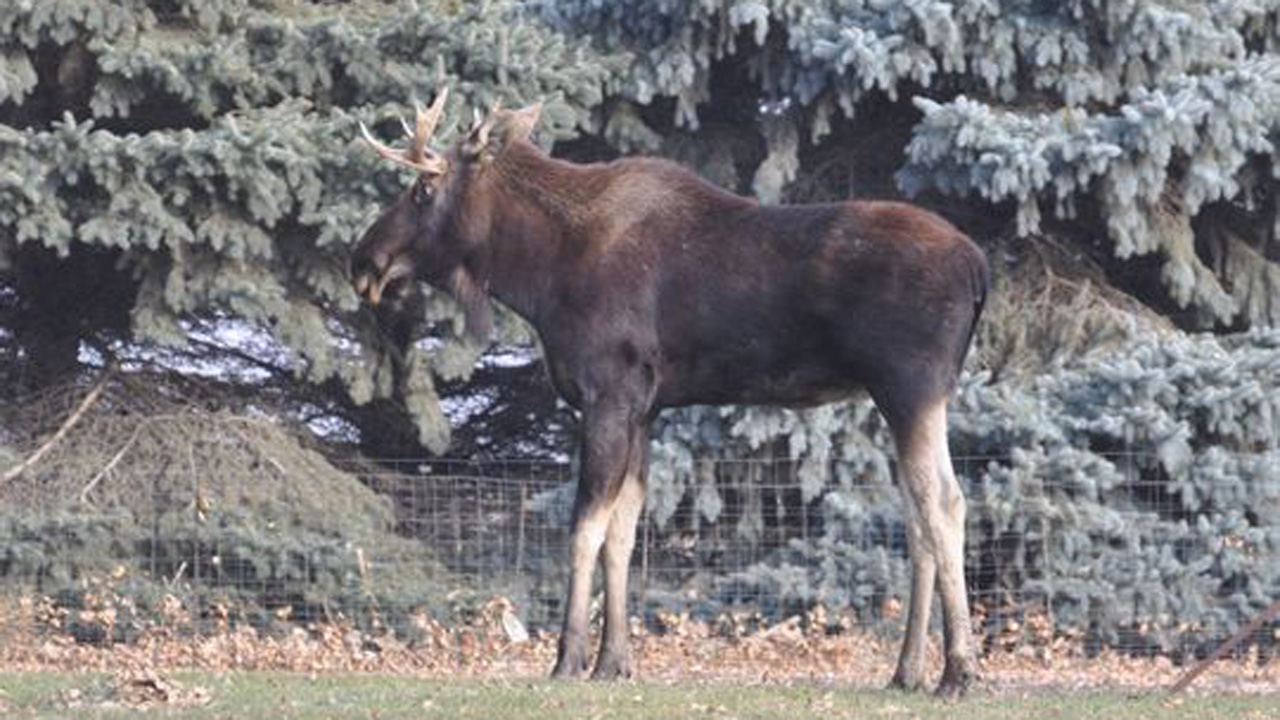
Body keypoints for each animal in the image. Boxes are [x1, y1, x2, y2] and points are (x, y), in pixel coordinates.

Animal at [349, 88, 990, 696]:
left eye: (423, 189)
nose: (363, 261)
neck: (537, 276)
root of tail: (977, 266)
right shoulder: (644, 409)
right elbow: (624, 533)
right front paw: (613, 662)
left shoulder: (607, 393)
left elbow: (585, 529)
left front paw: (569, 658)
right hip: (898, 398)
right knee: (916, 517)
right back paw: (907, 670)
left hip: (912, 387)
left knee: (945, 503)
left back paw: (958, 671)